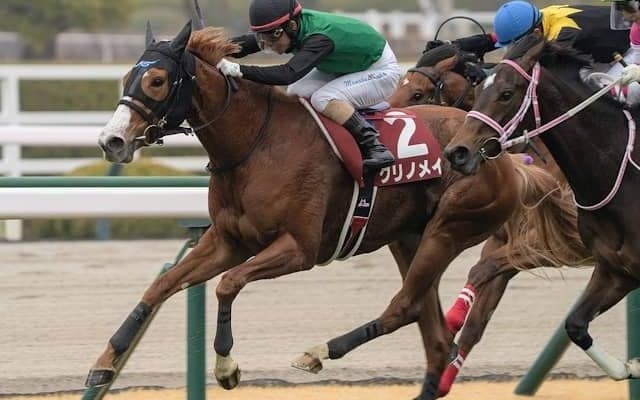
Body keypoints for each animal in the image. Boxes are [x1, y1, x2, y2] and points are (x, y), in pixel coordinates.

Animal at [87, 22, 566, 400]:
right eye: (128, 76)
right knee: (433, 336)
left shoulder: (299, 249)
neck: (255, 145)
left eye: (157, 81)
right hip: (408, 237)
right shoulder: (227, 240)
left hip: (449, 228)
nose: (112, 140)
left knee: (408, 307)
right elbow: (161, 286)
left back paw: (317, 352)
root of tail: (501, 158)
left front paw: (227, 368)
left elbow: (227, 284)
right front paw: (104, 363)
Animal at [387, 44, 590, 395]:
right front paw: (443, 375)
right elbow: (478, 313)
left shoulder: (562, 245)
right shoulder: (503, 241)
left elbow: (482, 269)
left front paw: (450, 321)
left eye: (417, 93)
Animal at [444, 32, 640, 382]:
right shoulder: (617, 269)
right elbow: (574, 325)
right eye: (479, 91)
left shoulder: (550, 246)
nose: (457, 152)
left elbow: (485, 269)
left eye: (506, 93)